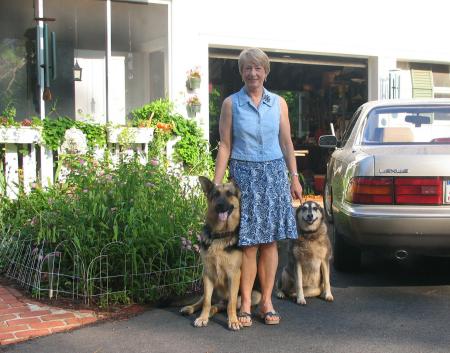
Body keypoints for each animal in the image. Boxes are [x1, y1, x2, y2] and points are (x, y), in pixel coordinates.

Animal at [179, 176, 260, 330]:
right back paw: (191, 308)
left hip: (254, 295)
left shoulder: (234, 275)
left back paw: (215, 312)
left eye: (229, 194)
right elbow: (206, 301)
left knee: (222, 305)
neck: (220, 235)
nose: (221, 206)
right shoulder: (208, 274)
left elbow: (231, 304)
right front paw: (202, 318)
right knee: (205, 301)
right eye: (215, 195)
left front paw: (233, 321)